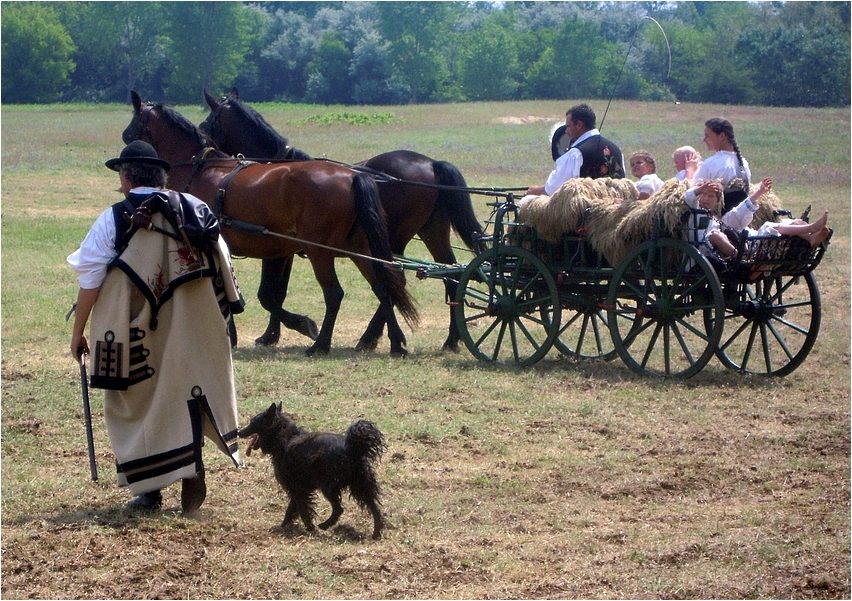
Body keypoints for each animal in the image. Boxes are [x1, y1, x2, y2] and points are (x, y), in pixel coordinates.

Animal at [124, 89, 420, 356]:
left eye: (132, 129)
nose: (124, 148)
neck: (199, 170)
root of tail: (351, 176)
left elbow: (261, 296)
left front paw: (299, 325)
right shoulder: (272, 252)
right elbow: (263, 294)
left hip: (320, 252)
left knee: (335, 293)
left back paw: (321, 344)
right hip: (359, 248)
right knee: (384, 286)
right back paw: (394, 342)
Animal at [196, 89, 482, 352]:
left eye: (207, 123)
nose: (205, 147)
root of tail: (432, 164)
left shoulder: (279, 249)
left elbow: (270, 293)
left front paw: (279, 332)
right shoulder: (284, 250)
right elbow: (277, 292)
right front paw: (272, 334)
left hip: (393, 241)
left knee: (396, 280)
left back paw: (370, 337)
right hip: (432, 232)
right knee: (449, 275)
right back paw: (449, 339)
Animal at [240, 404, 386, 540]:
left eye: (252, 422)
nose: (239, 432)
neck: (283, 438)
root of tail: (352, 448)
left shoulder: (297, 489)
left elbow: (303, 510)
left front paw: (309, 529)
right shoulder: (298, 489)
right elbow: (292, 509)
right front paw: (285, 526)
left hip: (328, 486)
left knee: (338, 509)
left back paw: (324, 525)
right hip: (361, 485)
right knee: (375, 509)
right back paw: (376, 534)